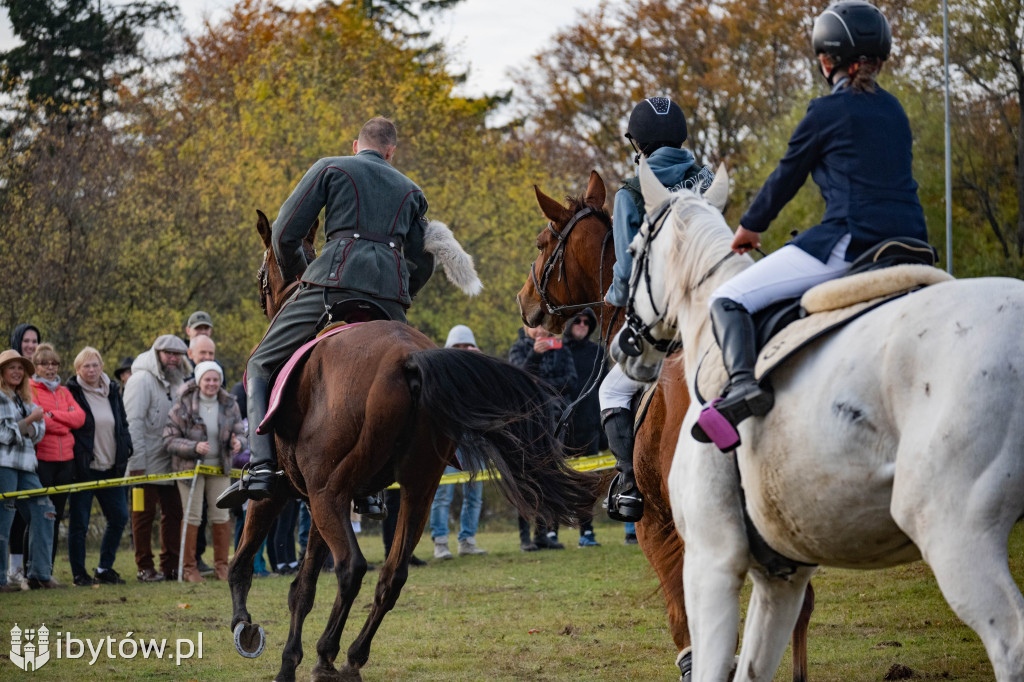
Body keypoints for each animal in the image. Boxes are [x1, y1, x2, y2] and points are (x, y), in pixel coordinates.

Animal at [231, 210, 598, 679]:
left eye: (263, 272)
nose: (265, 300)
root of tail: (408, 359)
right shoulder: (314, 502)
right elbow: (305, 586)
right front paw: (288, 658)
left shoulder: (281, 493)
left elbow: (245, 563)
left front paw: (248, 631)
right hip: (414, 491)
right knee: (392, 575)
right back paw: (348, 657)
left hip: (333, 493)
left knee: (352, 567)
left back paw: (327, 656)